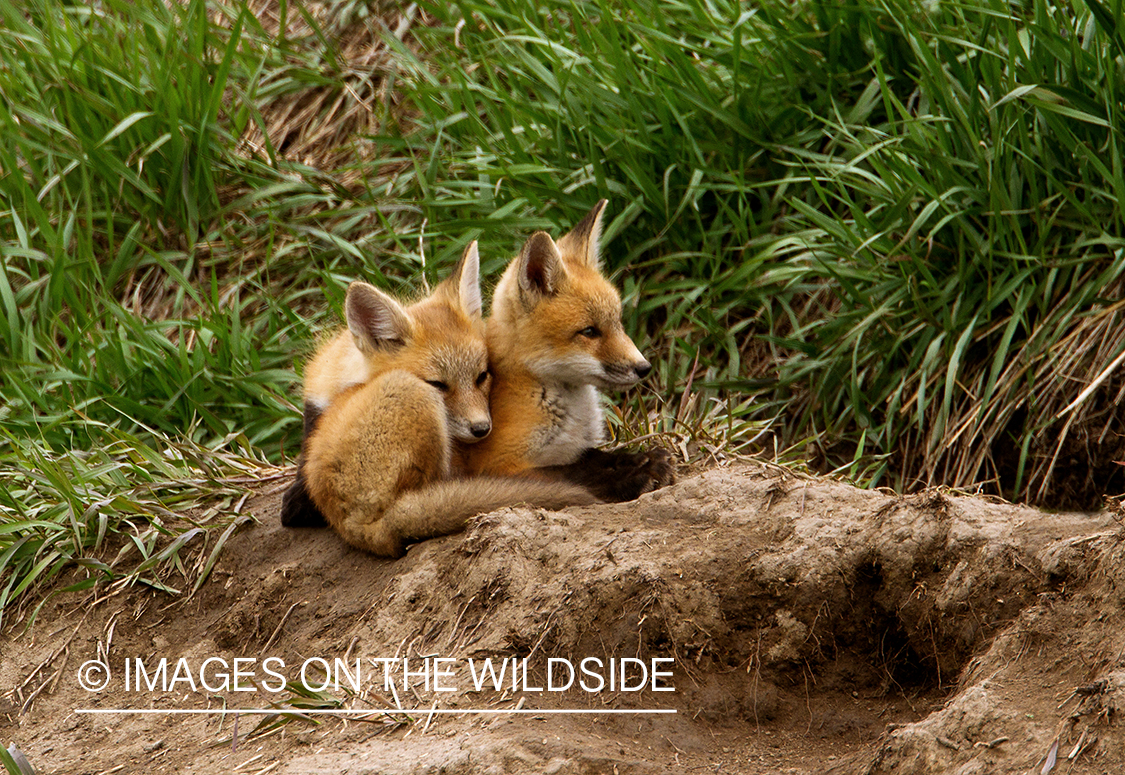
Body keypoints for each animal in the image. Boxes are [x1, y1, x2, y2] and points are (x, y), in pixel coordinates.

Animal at [460, 200, 675, 500]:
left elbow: (592, 457)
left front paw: (637, 459)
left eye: (617, 323)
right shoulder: (496, 467)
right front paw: (634, 477)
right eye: (589, 332)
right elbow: (572, 476)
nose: (644, 368)